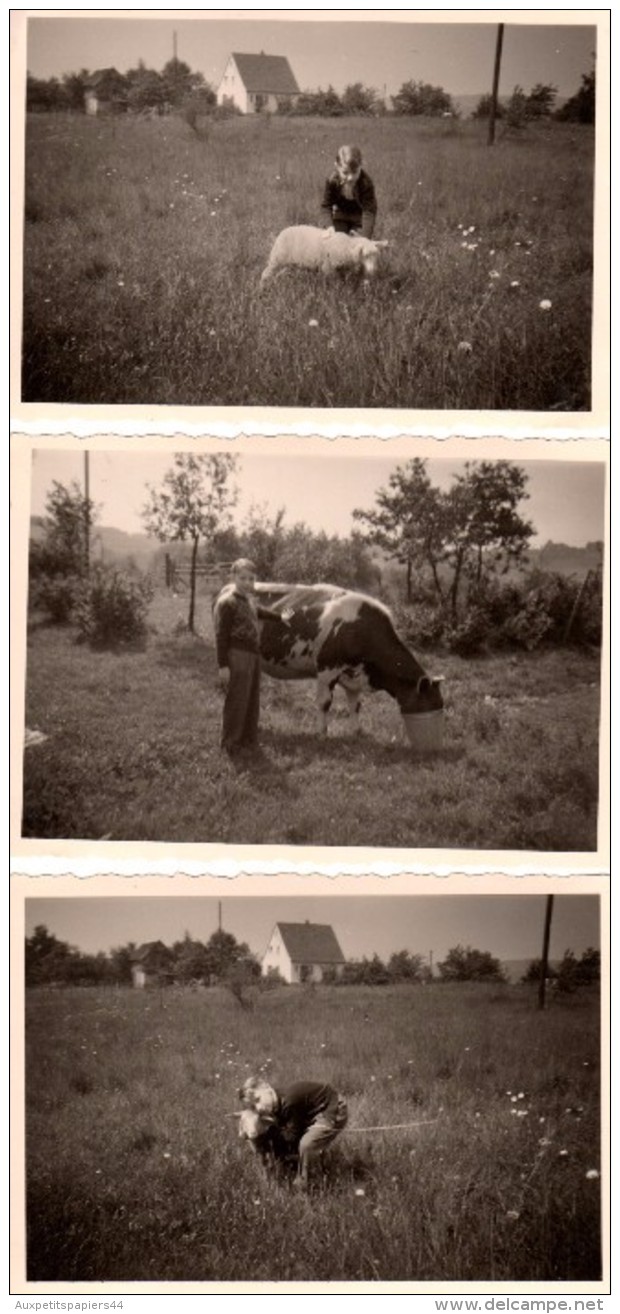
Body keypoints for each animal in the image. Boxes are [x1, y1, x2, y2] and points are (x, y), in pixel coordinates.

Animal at [214, 583, 446, 746]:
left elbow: (356, 705)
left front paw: (357, 732)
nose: (433, 744)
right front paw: (322, 733)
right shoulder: (327, 669)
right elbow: (324, 703)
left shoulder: (354, 676)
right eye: (430, 704)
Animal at [260, 224, 388, 286]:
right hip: (277, 258)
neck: (346, 246)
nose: (373, 270)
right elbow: (333, 284)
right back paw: (262, 287)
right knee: (266, 273)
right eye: (365, 255)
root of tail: (282, 232)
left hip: (288, 263)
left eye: (376, 255)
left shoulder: (341, 270)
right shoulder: (328, 268)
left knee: (280, 274)